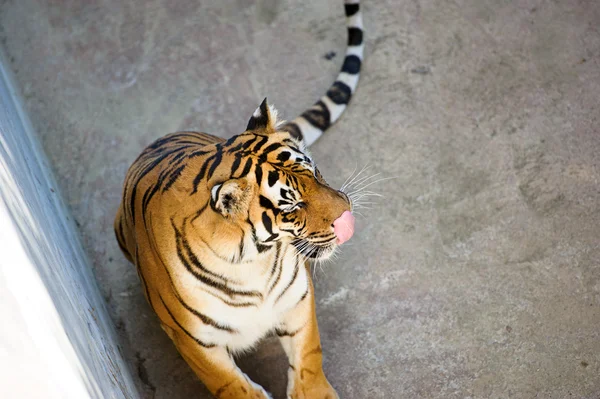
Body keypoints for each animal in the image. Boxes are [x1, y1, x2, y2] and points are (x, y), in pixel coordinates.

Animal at [115, 1, 364, 398]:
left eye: (314, 172)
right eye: (292, 206)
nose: (348, 215)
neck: (252, 264)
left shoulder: (297, 300)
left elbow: (309, 355)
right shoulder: (196, 343)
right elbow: (232, 386)